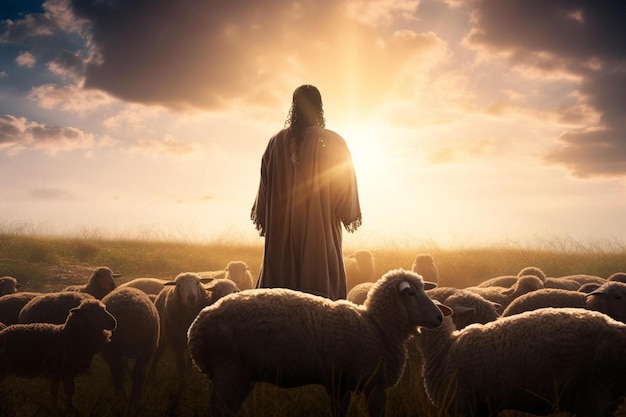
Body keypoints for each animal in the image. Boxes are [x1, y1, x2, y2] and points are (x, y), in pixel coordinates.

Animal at [186, 266, 444, 416]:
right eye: (412, 293)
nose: (440, 317)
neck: (376, 326)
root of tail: (195, 328)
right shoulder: (374, 384)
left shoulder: (338, 383)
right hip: (228, 370)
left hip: (237, 376)